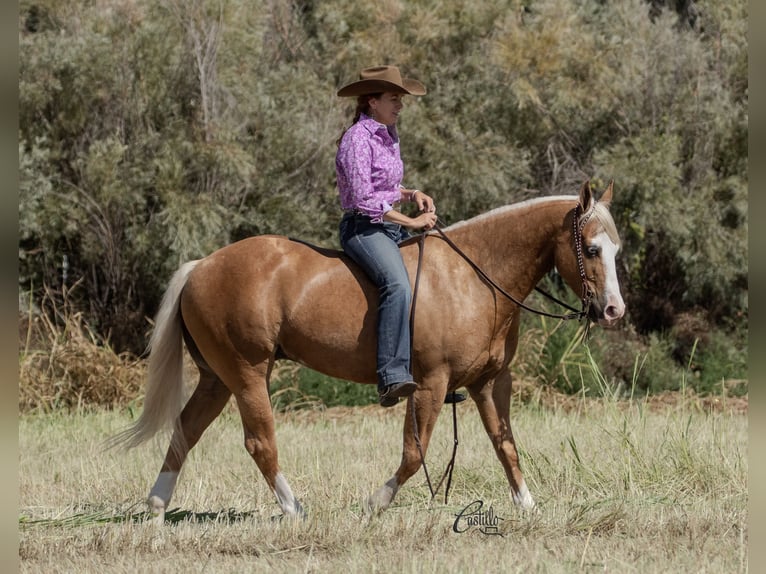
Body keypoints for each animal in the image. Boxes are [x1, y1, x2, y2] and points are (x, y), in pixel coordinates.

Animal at [117, 181, 628, 520]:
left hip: (217, 378)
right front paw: (375, 502)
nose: (613, 310)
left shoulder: (490, 382)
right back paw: (294, 509)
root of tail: (201, 266)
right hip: (247, 373)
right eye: (592, 249)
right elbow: (414, 453)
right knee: (259, 442)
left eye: (617, 250)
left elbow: (506, 445)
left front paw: (528, 506)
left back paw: (158, 506)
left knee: (185, 430)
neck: (475, 276)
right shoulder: (431, 383)